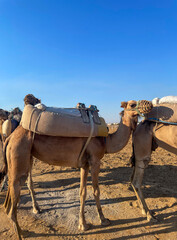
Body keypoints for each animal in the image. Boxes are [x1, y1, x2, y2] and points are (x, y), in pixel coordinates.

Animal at [0, 96, 151, 240]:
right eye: (132, 104)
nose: (149, 105)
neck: (106, 141)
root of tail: (10, 137)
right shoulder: (95, 161)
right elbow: (96, 191)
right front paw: (103, 220)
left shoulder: (84, 164)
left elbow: (82, 192)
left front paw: (83, 224)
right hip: (20, 152)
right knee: (14, 196)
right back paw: (21, 232)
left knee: (10, 199)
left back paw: (23, 229)